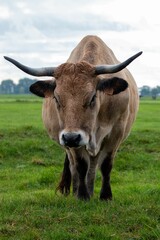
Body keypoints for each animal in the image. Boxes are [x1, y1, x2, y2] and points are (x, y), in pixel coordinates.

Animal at [3, 35, 142, 201]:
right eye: (56, 98)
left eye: (92, 97)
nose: (71, 137)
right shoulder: (73, 142)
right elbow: (80, 166)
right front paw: (81, 195)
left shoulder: (116, 134)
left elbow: (106, 166)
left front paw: (105, 196)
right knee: (75, 166)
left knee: (93, 166)